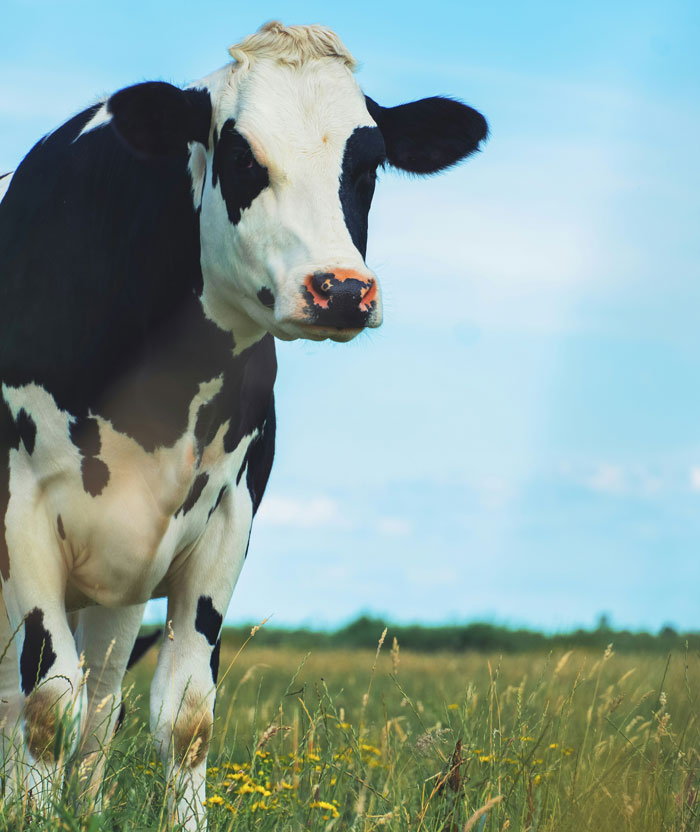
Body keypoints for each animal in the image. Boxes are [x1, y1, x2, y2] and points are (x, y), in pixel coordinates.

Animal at [0, 21, 487, 828]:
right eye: (240, 156)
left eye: (369, 163)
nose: (342, 290)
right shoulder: (23, 507)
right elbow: (45, 703)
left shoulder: (227, 514)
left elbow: (182, 714)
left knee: (102, 702)